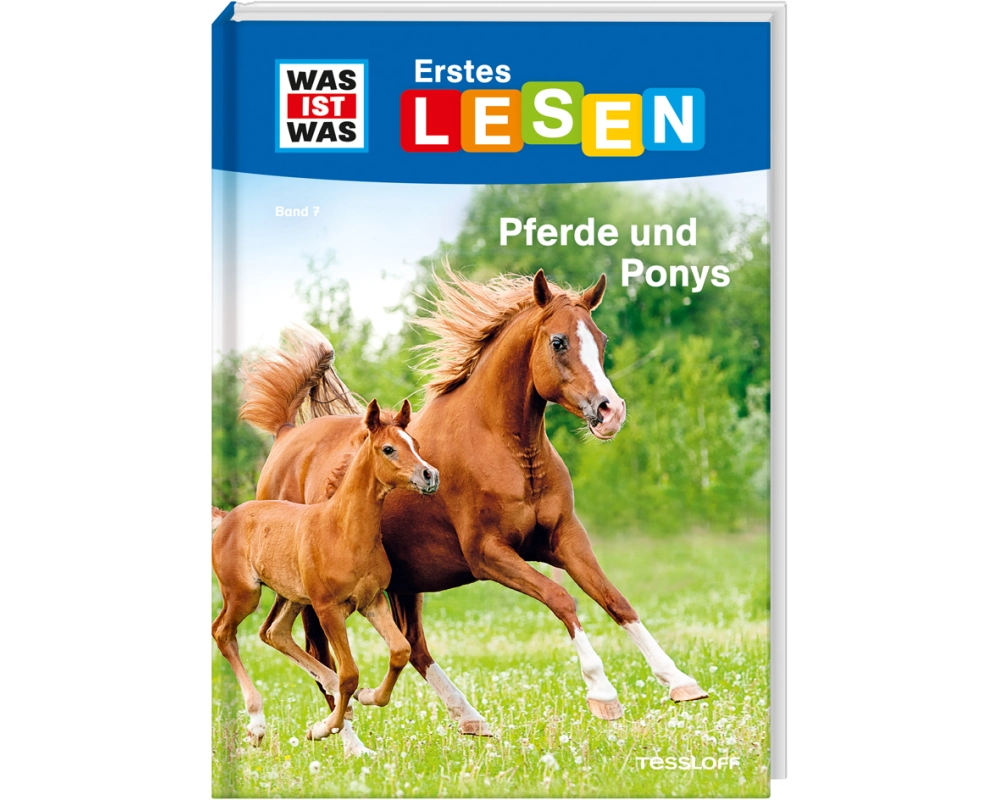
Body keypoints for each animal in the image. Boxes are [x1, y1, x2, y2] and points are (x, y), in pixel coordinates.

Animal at [211, 398, 439, 754]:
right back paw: (257, 723)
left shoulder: (372, 602)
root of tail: (225, 518)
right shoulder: (328, 609)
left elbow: (399, 651)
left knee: (274, 633)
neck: (343, 531)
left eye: (414, 443)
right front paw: (323, 728)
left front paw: (369, 696)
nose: (430, 475)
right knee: (223, 632)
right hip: (244, 594)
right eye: (388, 449)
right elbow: (349, 673)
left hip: (291, 596)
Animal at [239, 268, 708, 744]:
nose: (610, 411)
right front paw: (603, 693)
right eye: (559, 341)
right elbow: (562, 599)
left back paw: (468, 717)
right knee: (322, 657)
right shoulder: (489, 554)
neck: (505, 447)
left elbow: (615, 600)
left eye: (602, 339)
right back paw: (347, 740)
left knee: (412, 647)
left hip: (403, 582)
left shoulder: (565, 539)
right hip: (316, 594)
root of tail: (284, 436)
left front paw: (680, 682)